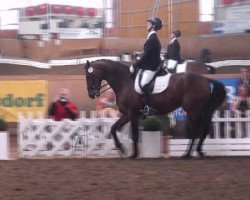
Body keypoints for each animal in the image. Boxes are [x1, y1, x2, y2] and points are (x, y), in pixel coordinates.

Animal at [84, 58, 227, 159]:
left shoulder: (133, 114)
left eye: (89, 76)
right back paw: (198, 152)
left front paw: (133, 154)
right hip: (200, 110)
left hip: (192, 110)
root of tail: (205, 79)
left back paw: (188, 154)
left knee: (196, 130)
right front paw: (122, 149)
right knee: (204, 129)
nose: (91, 94)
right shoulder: (127, 115)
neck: (125, 82)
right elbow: (113, 129)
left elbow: (135, 135)